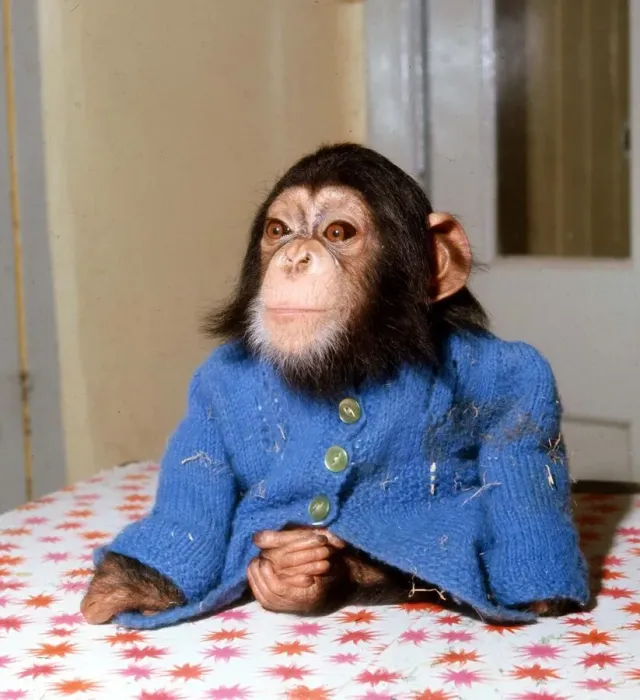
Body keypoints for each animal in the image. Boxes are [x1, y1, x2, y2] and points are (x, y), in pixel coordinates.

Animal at [81, 143, 588, 628]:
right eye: (279, 231)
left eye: (338, 233)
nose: (294, 258)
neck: (345, 359)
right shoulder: (213, 383)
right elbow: (198, 479)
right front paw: (127, 586)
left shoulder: (490, 364)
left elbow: (519, 439)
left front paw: (540, 594)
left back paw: (319, 574)